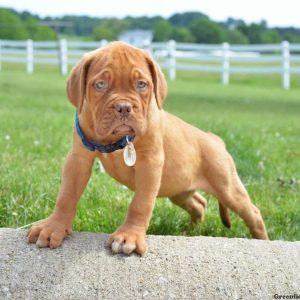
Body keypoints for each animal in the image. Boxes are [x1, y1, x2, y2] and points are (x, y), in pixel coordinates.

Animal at [27, 41, 268, 254]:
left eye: (141, 84)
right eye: (101, 84)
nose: (124, 107)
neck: (119, 141)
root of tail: (214, 138)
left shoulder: (149, 162)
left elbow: (140, 203)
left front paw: (129, 237)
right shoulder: (78, 158)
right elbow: (66, 195)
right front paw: (54, 227)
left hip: (227, 187)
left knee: (253, 213)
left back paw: (262, 242)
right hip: (178, 189)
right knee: (199, 203)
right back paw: (189, 231)